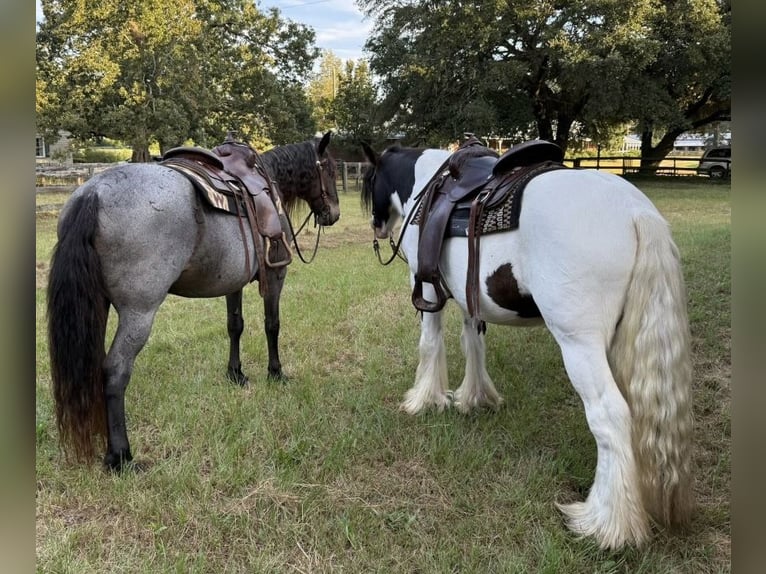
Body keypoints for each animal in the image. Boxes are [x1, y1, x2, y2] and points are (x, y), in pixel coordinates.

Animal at [47, 132, 340, 472]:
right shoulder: (276, 275)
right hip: (139, 313)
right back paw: (120, 456)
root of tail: (93, 193)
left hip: (98, 308)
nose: (333, 213)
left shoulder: (233, 282)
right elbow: (272, 325)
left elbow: (235, 326)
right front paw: (276, 373)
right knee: (115, 371)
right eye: (329, 169)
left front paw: (236, 374)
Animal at [360, 142, 693, 550]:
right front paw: (475, 398)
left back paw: (605, 524)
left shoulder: (425, 289)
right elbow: (473, 343)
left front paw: (424, 400)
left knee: (610, 416)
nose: (377, 226)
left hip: (579, 345)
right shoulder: (471, 299)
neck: (425, 184)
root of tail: (634, 211)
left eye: (370, 179)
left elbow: (430, 344)